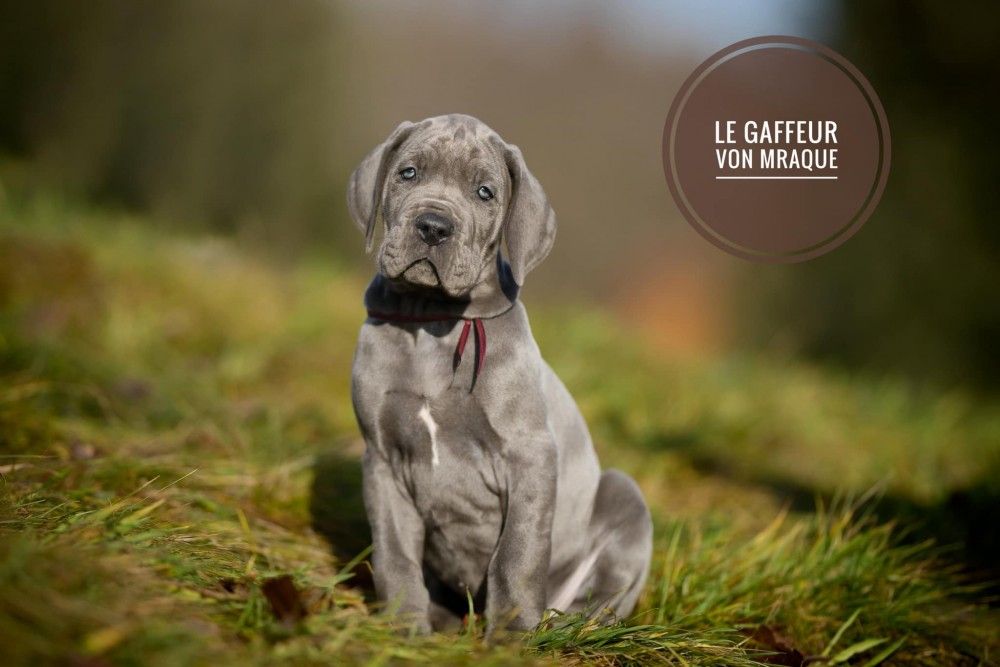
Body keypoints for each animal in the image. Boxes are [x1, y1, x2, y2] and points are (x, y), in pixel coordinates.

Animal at [348, 114, 652, 634]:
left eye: (484, 193)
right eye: (409, 173)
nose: (433, 226)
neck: (432, 319)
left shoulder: (529, 456)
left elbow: (518, 553)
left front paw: (509, 635)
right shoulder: (382, 459)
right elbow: (395, 552)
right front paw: (405, 627)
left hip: (625, 497)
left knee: (599, 600)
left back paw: (565, 629)